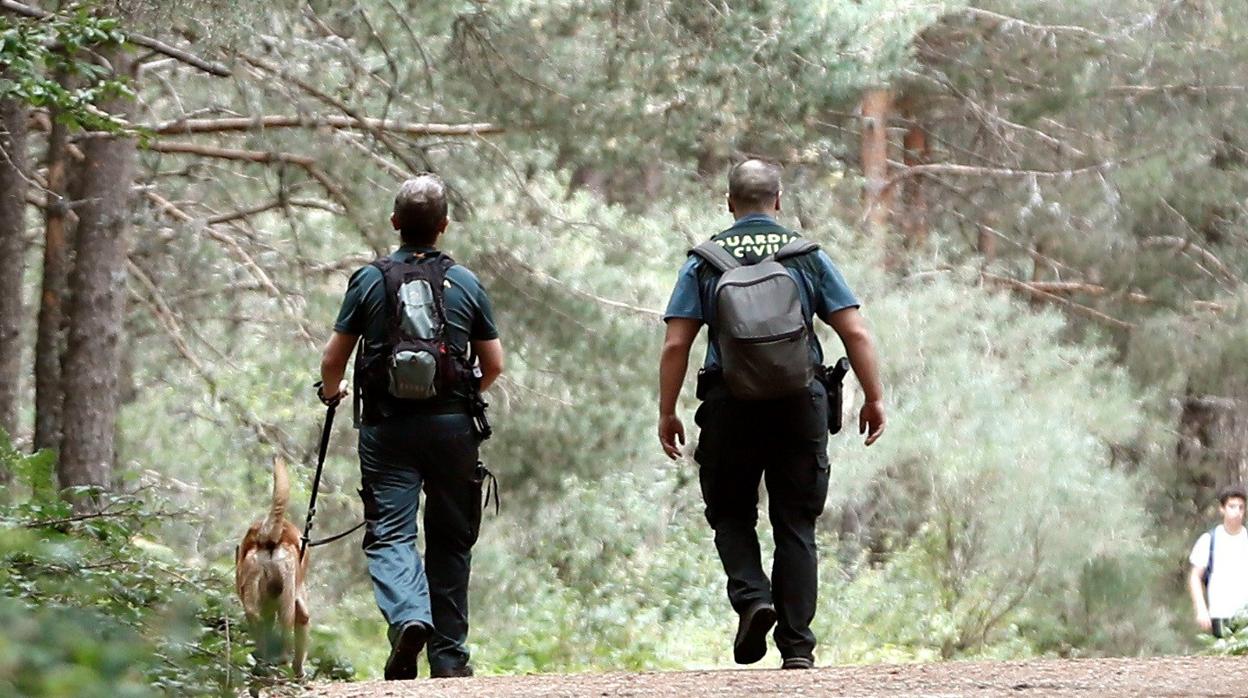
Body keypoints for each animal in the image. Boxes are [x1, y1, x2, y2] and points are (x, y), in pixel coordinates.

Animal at [234, 457, 310, 679]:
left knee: (261, 625)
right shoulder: (300, 604)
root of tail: (267, 534)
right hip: (287, 597)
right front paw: (299, 672)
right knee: (288, 627)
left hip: (253, 600)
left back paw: (265, 664)